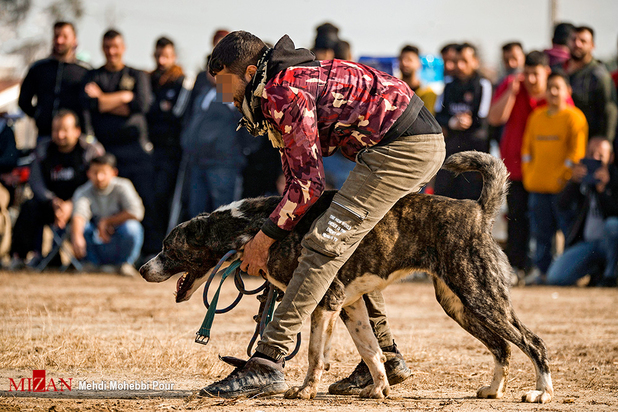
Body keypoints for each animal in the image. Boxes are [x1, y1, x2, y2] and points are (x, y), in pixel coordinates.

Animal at [141, 150, 552, 402]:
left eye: (169, 248)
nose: (144, 269)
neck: (252, 226)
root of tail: (477, 210)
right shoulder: (350, 305)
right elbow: (372, 352)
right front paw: (379, 390)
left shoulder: (322, 300)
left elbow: (313, 354)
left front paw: (305, 391)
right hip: (459, 304)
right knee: (501, 347)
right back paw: (493, 390)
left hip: (481, 296)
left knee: (533, 342)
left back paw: (541, 393)